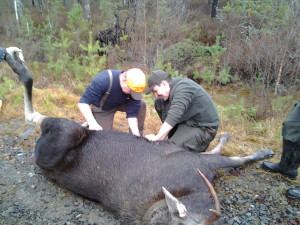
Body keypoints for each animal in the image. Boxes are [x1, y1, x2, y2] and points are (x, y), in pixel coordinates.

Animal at [4, 53, 274, 224]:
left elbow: (222, 153)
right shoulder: (198, 163)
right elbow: (236, 159)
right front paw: (263, 152)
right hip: (64, 135)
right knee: (35, 117)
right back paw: (16, 61)